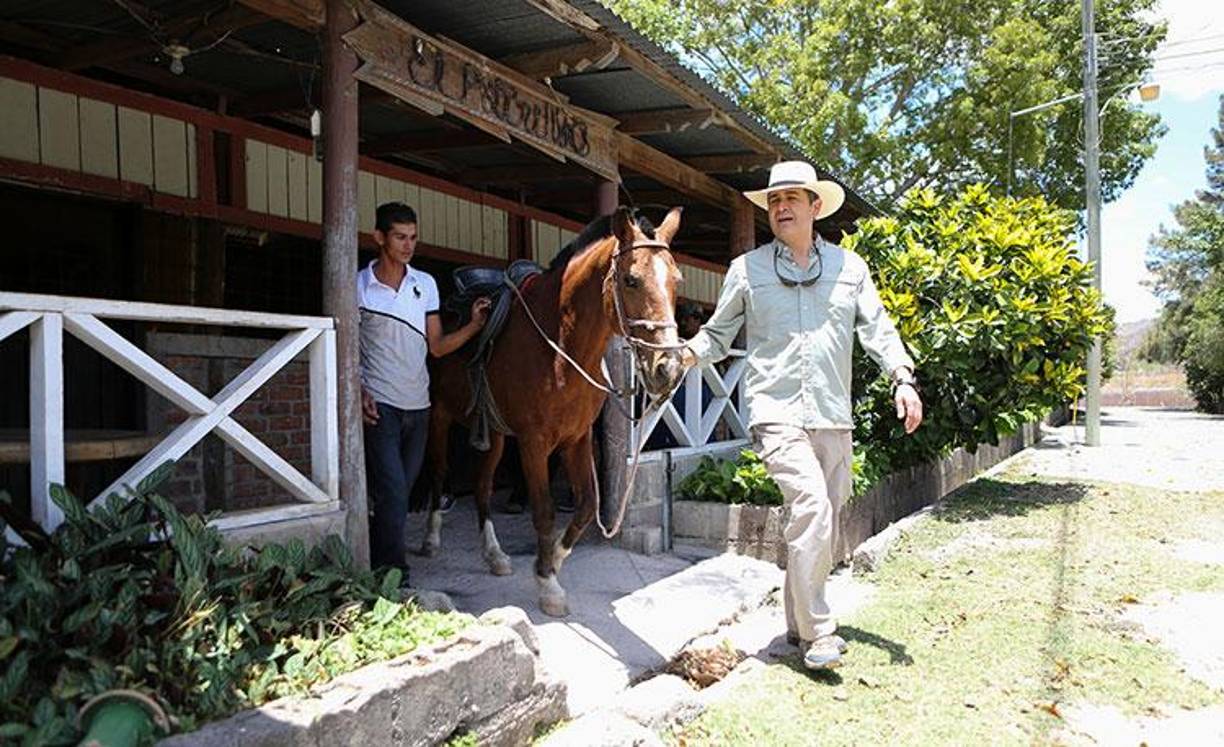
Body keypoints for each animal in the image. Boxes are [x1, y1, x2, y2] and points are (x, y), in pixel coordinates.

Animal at [423, 206, 686, 616]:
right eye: (631, 280)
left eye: (676, 280)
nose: (668, 369)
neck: (560, 345)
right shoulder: (534, 443)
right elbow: (544, 511)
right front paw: (547, 584)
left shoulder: (576, 439)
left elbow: (587, 505)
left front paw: (554, 561)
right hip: (439, 416)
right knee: (438, 473)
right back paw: (432, 539)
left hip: (494, 433)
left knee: (482, 486)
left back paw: (494, 555)